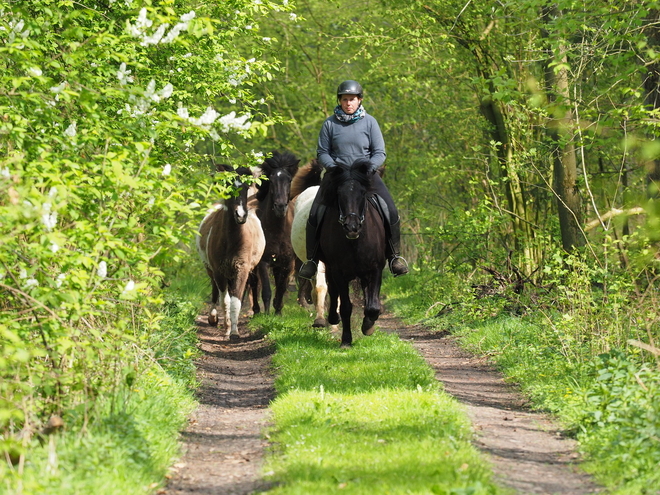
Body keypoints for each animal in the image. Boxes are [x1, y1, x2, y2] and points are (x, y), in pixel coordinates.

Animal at [196, 165, 266, 340]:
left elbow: (236, 301)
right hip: (210, 269)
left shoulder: (242, 269)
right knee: (215, 290)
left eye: (246, 188)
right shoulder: (218, 270)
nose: (240, 215)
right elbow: (225, 300)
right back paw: (213, 317)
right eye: (228, 186)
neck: (231, 239)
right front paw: (227, 328)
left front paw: (234, 331)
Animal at [249, 149, 300, 316]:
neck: (277, 231)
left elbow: (281, 288)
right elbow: (266, 290)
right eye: (271, 180)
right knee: (253, 282)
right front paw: (266, 314)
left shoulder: (287, 263)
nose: (280, 206)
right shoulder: (263, 262)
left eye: (289, 180)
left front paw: (278, 311)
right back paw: (256, 310)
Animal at [318, 160, 386, 348]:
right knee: (333, 290)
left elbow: (373, 306)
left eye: (362, 193)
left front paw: (368, 326)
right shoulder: (338, 271)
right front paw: (346, 340)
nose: (352, 227)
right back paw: (333, 318)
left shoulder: (376, 269)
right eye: (339, 194)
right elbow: (346, 306)